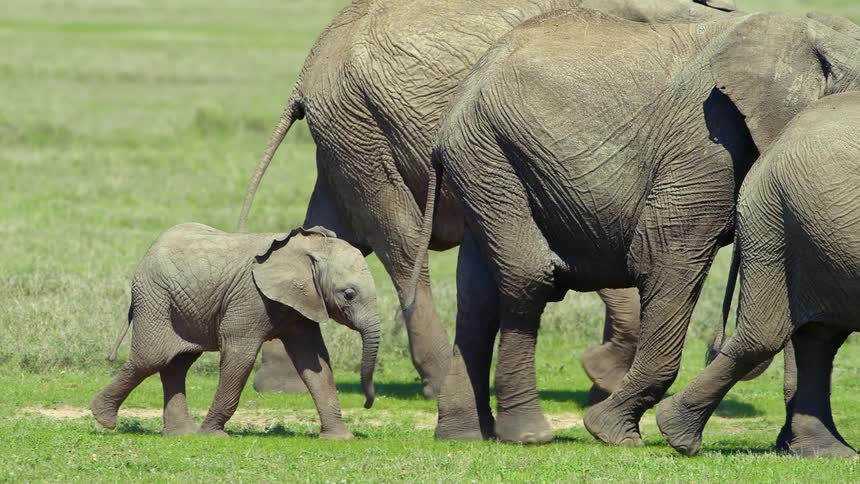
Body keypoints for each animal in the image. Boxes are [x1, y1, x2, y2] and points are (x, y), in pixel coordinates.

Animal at [91, 224, 379, 439]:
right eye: (349, 294)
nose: (367, 404)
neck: (309, 247)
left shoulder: (304, 302)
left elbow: (314, 361)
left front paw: (340, 438)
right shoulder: (249, 298)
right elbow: (240, 356)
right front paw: (212, 435)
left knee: (176, 364)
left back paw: (182, 434)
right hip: (155, 298)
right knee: (151, 359)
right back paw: (104, 419)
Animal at [237, 0, 738, 401]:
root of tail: (310, 68)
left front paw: (604, 382)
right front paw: (605, 376)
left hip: (347, 134)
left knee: (333, 230)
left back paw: (280, 384)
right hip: (362, 127)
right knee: (403, 249)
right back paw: (437, 382)